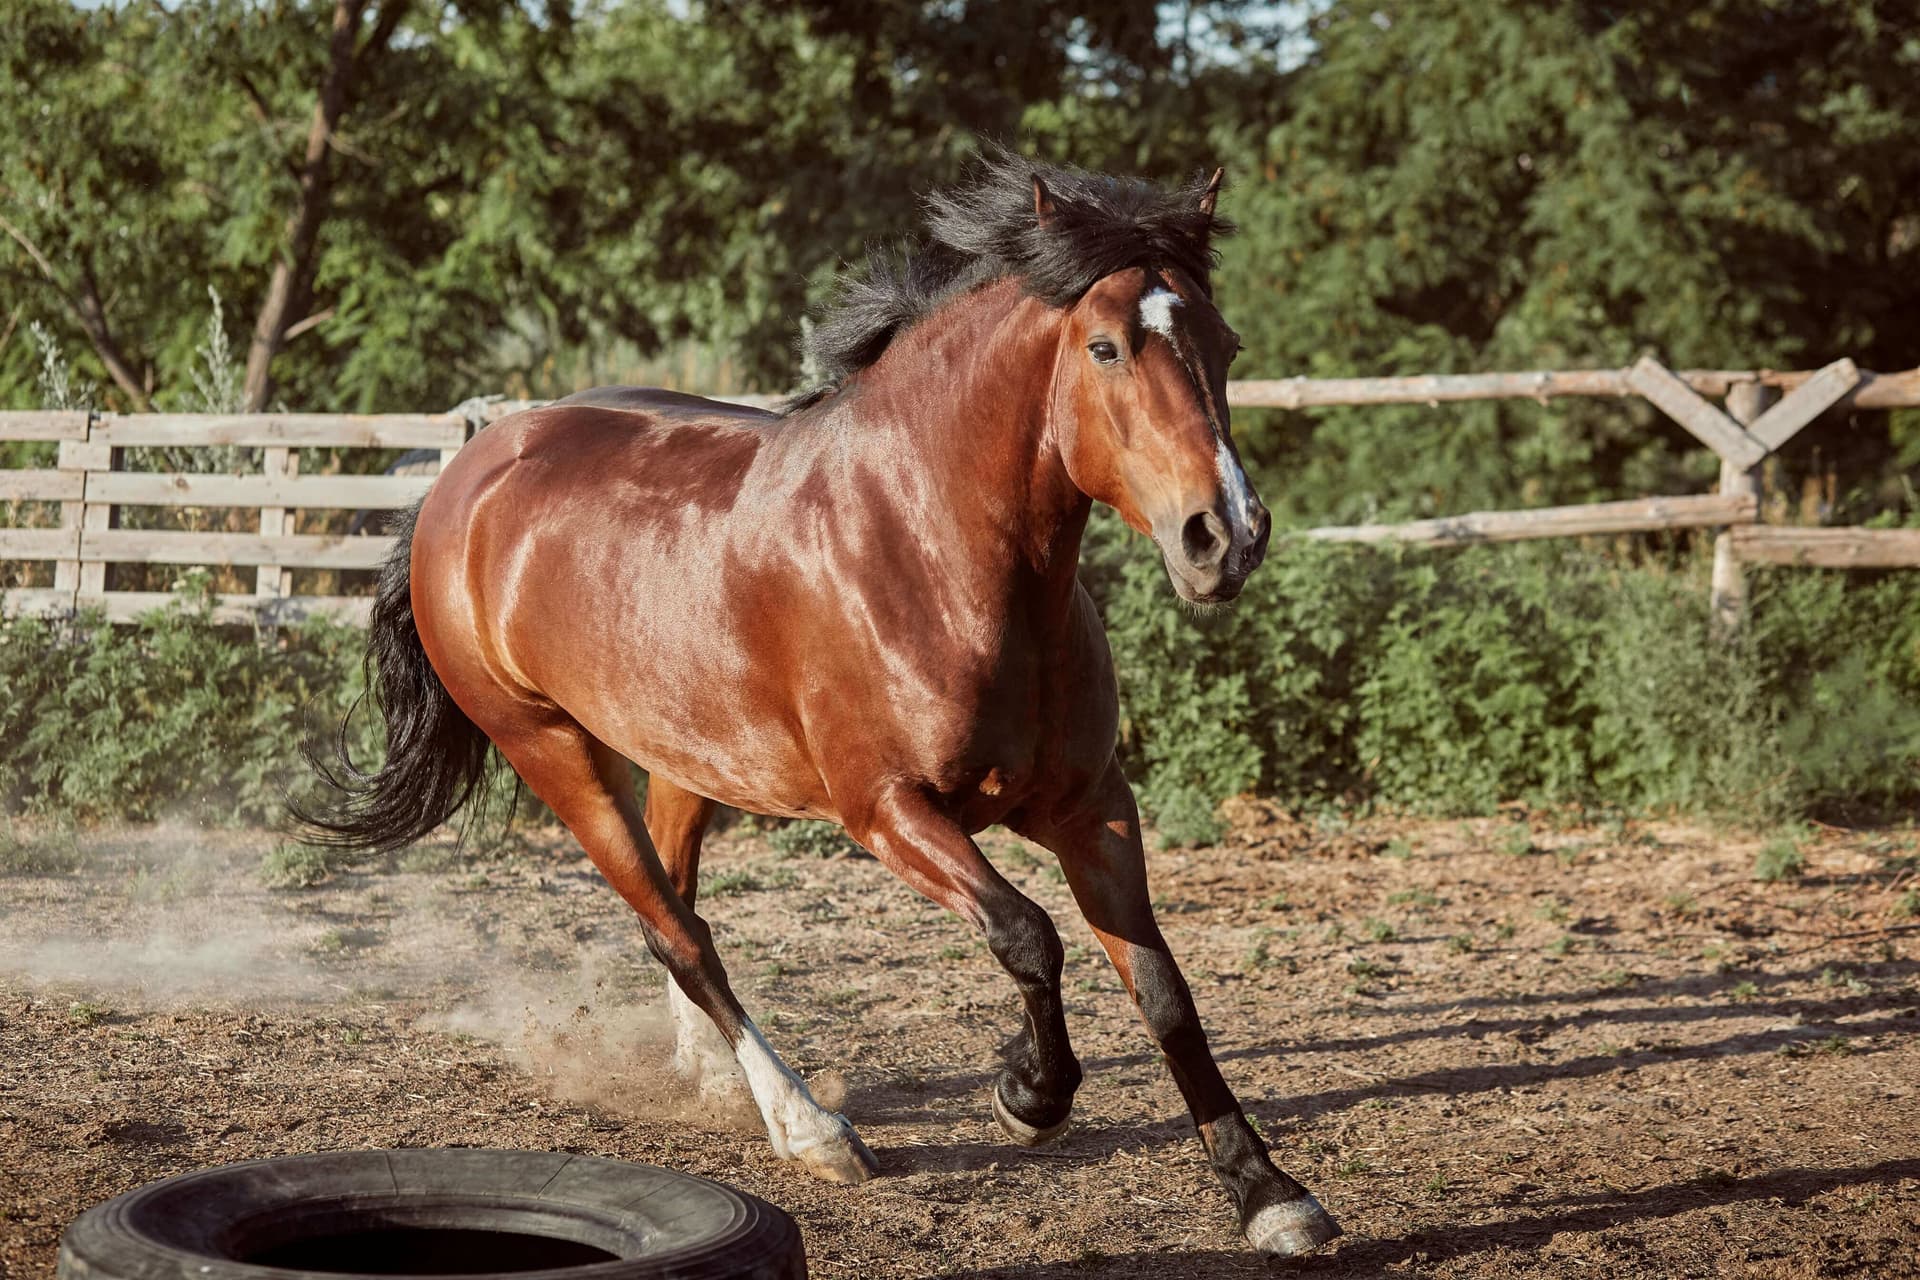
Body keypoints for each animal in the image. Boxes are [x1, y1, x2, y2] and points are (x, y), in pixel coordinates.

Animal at [299, 152, 1339, 1258]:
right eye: (1105, 346)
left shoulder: (1091, 805)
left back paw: (722, 1084)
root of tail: (464, 478)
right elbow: (1028, 934)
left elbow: (1166, 989)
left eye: (1224, 344)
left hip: (682, 757)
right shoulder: (887, 810)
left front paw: (1269, 1193)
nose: (1226, 536)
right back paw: (809, 1128)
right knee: (679, 934)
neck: (930, 550)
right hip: (551, 751)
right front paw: (1029, 1095)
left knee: (676, 913)